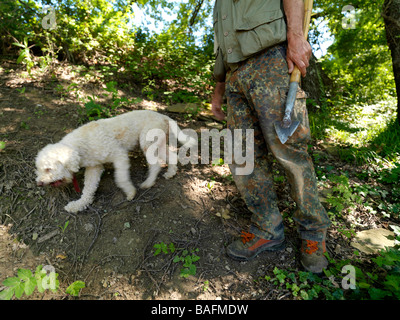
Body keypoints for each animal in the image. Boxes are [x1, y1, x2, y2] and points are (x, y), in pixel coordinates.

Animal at [36, 110, 195, 212]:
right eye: (39, 169)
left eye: (48, 169)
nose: (39, 183)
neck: (81, 145)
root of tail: (164, 116)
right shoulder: (94, 168)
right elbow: (88, 189)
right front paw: (78, 205)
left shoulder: (119, 155)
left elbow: (121, 178)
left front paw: (130, 192)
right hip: (158, 144)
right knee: (172, 156)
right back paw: (170, 174)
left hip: (146, 142)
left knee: (155, 164)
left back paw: (148, 183)